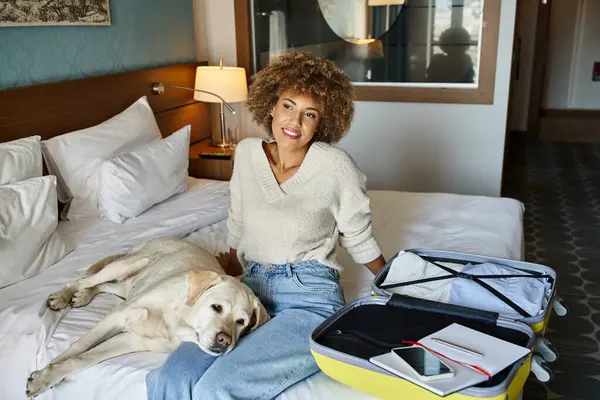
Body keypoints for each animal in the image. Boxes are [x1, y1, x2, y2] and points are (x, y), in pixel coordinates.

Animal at [25, 238, 268, 396]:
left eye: (242, 322)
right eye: (216, 307)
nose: (224, 341)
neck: (176, 322)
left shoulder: (130, 340)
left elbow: (82, 360)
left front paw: (48, 375)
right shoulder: (117, 317)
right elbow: (78, 347)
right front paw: (46, 371)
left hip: (127, 286)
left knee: (105, 286)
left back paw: (83, 296)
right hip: (127, 265)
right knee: (87, 280)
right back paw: (63, 296)